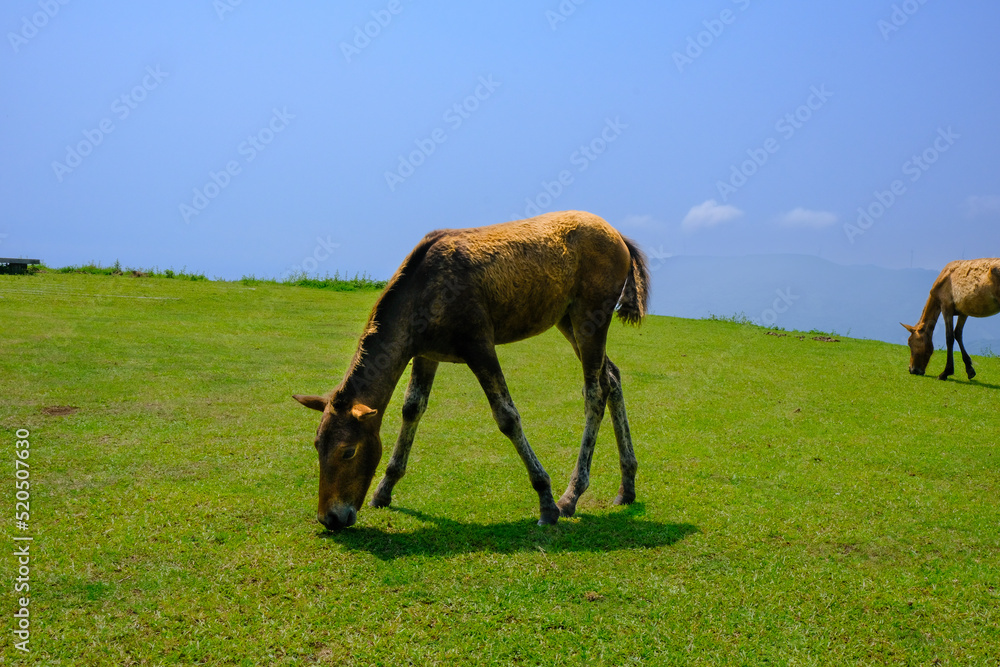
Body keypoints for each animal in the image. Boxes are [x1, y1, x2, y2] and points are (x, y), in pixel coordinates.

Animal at [293, 210, 649, 530]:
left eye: (348, 452)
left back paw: (571, 495)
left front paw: (546, 501)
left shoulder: (479, 346)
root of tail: (619, 236)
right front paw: (384, 489)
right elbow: (412, 409)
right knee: (612, 378)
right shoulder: (426, 353)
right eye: (317, 445)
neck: (423, 291)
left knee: (594, 392)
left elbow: (507, 416)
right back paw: (627, 486)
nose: (330, 518)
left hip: (591, 316)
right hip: (568, 319)